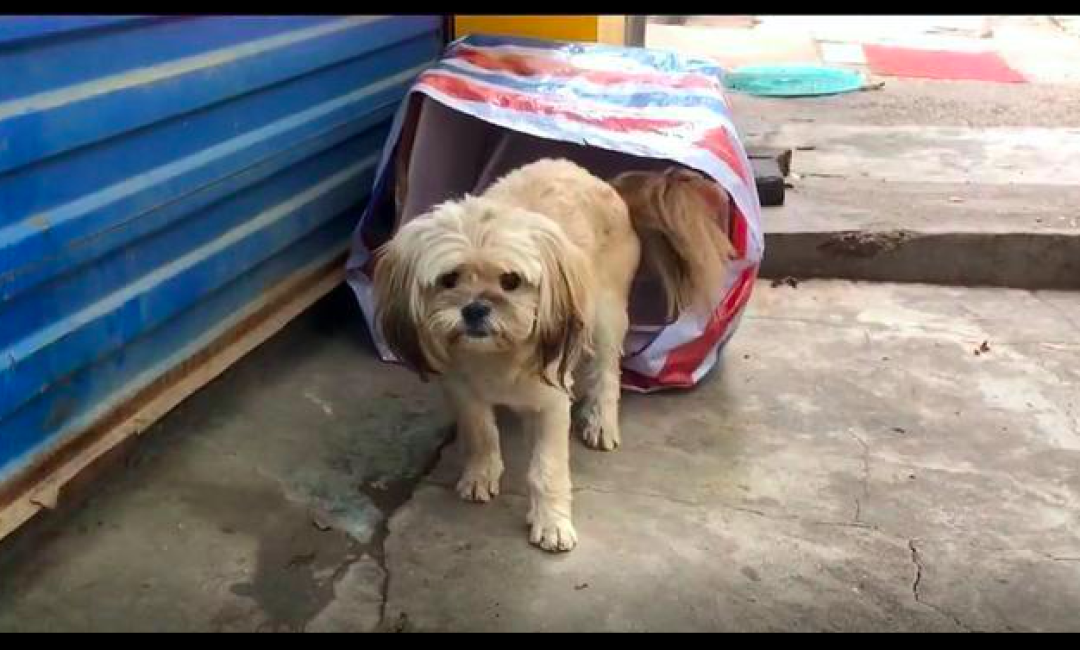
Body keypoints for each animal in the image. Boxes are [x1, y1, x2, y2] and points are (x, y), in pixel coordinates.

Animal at [373, 159, 734, 548]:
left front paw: (552, 522)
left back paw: (601, 421)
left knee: (607, 374)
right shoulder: (463, 391)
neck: (497, 356)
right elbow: (481, 433)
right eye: (449, 279)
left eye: (511, 281)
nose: (475, 309)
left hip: (607, 317)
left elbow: (546, 469)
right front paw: (482, 472)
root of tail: (605, 183)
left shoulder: (551, 403)